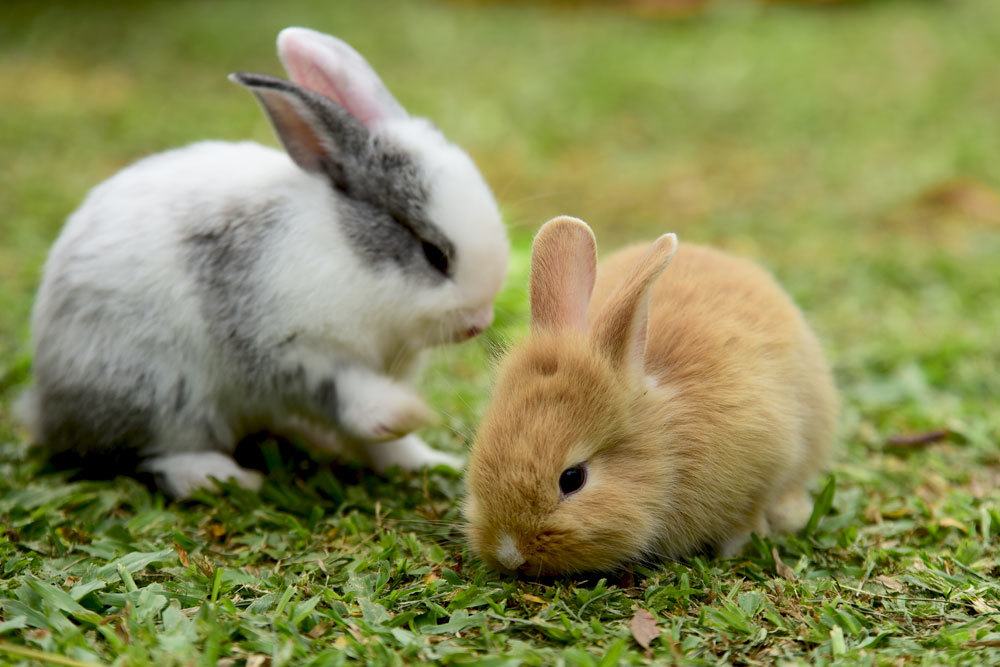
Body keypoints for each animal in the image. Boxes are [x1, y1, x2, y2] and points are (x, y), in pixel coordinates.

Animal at [17, 28, 508, 498]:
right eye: (434, 254)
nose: (478, 323)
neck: (349, 253)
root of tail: (48, 410)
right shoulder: (287, 348)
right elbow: (344, 389)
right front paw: (405, 414)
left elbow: (380, 444)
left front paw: (426, 461)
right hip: (158, 393)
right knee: (157, 453)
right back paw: (222, 477)